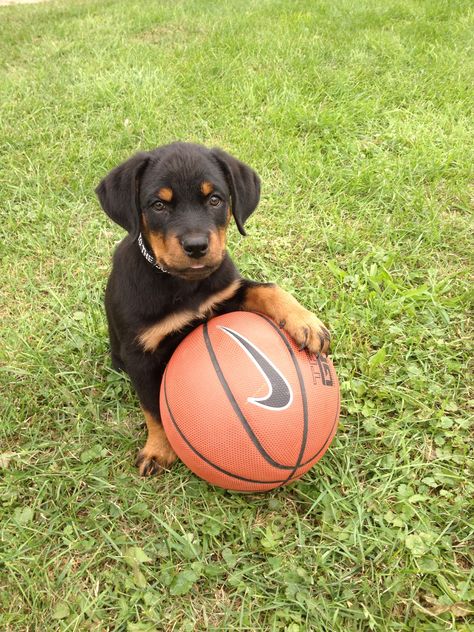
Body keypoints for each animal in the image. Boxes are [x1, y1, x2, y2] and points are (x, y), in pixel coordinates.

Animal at [96, 143, 330, 476]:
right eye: (158, 205)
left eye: (215, 199)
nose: (196, 246)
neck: (184, 285)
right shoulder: (139, 353)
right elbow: (152, 406)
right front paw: (158, 449)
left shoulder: (227, 294)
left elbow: (267, 288)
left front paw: (305, 322)